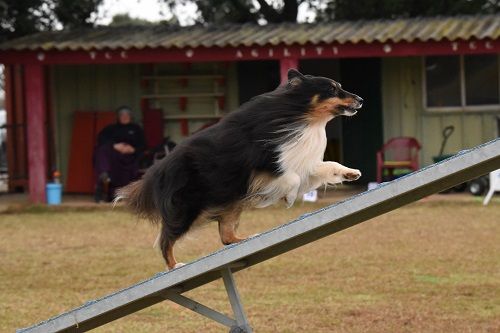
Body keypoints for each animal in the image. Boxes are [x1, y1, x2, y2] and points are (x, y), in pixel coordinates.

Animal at [118, 68, 364, 268]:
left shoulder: (299, 161)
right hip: (187, 208)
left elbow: (324, 167)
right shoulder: (265, 165)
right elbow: (291, 179)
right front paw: (288, 198)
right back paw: (174, 265)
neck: (298, 115)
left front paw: (350, 173)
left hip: (230, 203)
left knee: (226, 237)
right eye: (332, 89)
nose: (361, 100)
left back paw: (246, 239)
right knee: (166, 238)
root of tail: (154, 172)